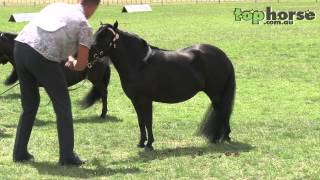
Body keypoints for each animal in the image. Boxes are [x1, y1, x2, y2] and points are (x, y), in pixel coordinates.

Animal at [91, 21, 236, 150]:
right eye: (97, 34)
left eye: (104, 37)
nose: (90, 54)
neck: (139, 63)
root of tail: (223, 56)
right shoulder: (136, 100)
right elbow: (141, 121)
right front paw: (141, 143)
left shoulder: (145, 100)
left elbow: (148, 121)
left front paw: (149, 145)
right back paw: (225, 137)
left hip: (216, 94)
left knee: (221, 112)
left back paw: (216, 139)